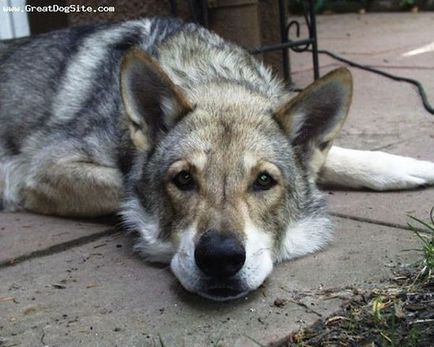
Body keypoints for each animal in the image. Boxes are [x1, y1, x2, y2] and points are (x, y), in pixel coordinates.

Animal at [2, 17, 434, 302]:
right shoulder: (40, 172)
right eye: (183, 179)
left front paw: (410, 168)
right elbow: (126, 188)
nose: (220, 258)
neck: (208, 74)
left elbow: (336, 158)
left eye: (264, 180)